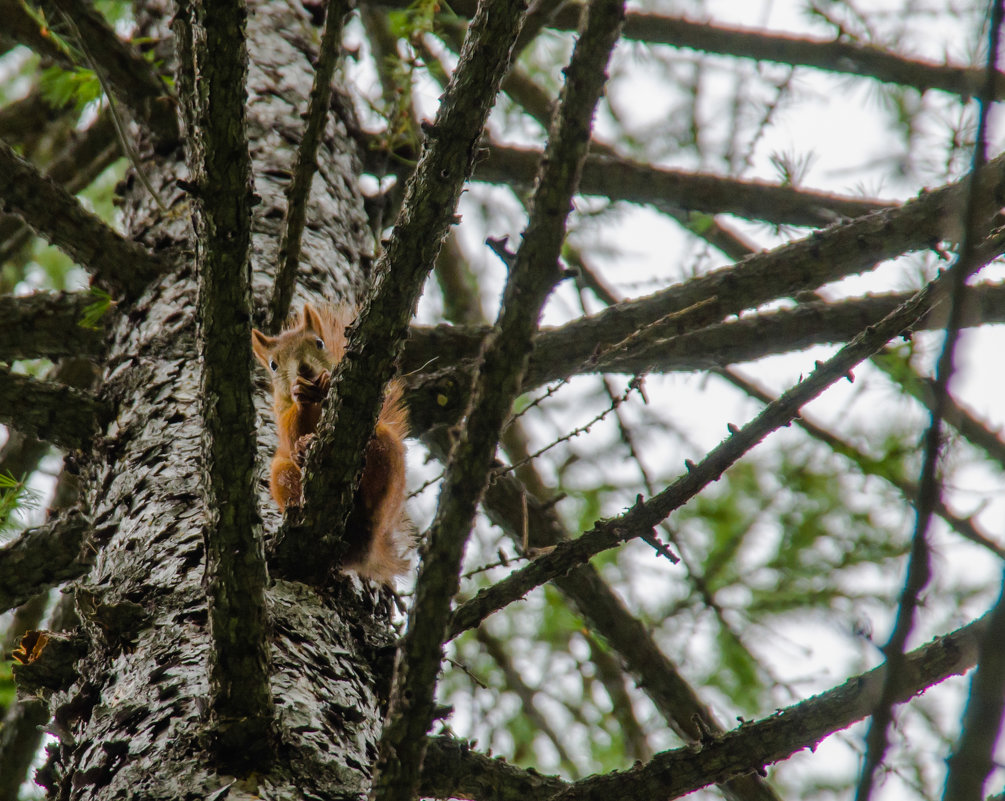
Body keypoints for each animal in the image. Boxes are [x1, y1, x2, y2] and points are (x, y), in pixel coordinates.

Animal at [249, 303, 410, 582]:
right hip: (281, 474)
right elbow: (290, 433)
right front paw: (301, 430)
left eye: (319, 343)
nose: (304, 369)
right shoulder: (281, 414)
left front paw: (325, 380)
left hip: (387, 460)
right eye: (273, 365)